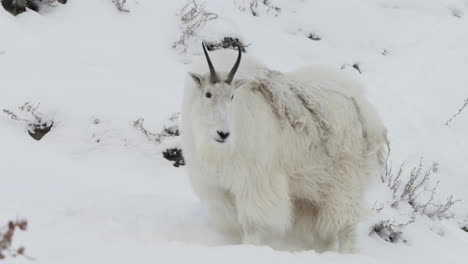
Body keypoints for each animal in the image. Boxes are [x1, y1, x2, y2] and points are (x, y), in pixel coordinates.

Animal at [181, 43, 386, 254]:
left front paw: (251, 246)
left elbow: (252, 222)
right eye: (208, 94)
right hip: (314, 188)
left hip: (345, 180)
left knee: (346, 223)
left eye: (232, 96)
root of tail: (361, 107)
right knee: (325, 230)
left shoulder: (256, 182)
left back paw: (346, 252)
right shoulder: (219, 188)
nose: (223, 133)